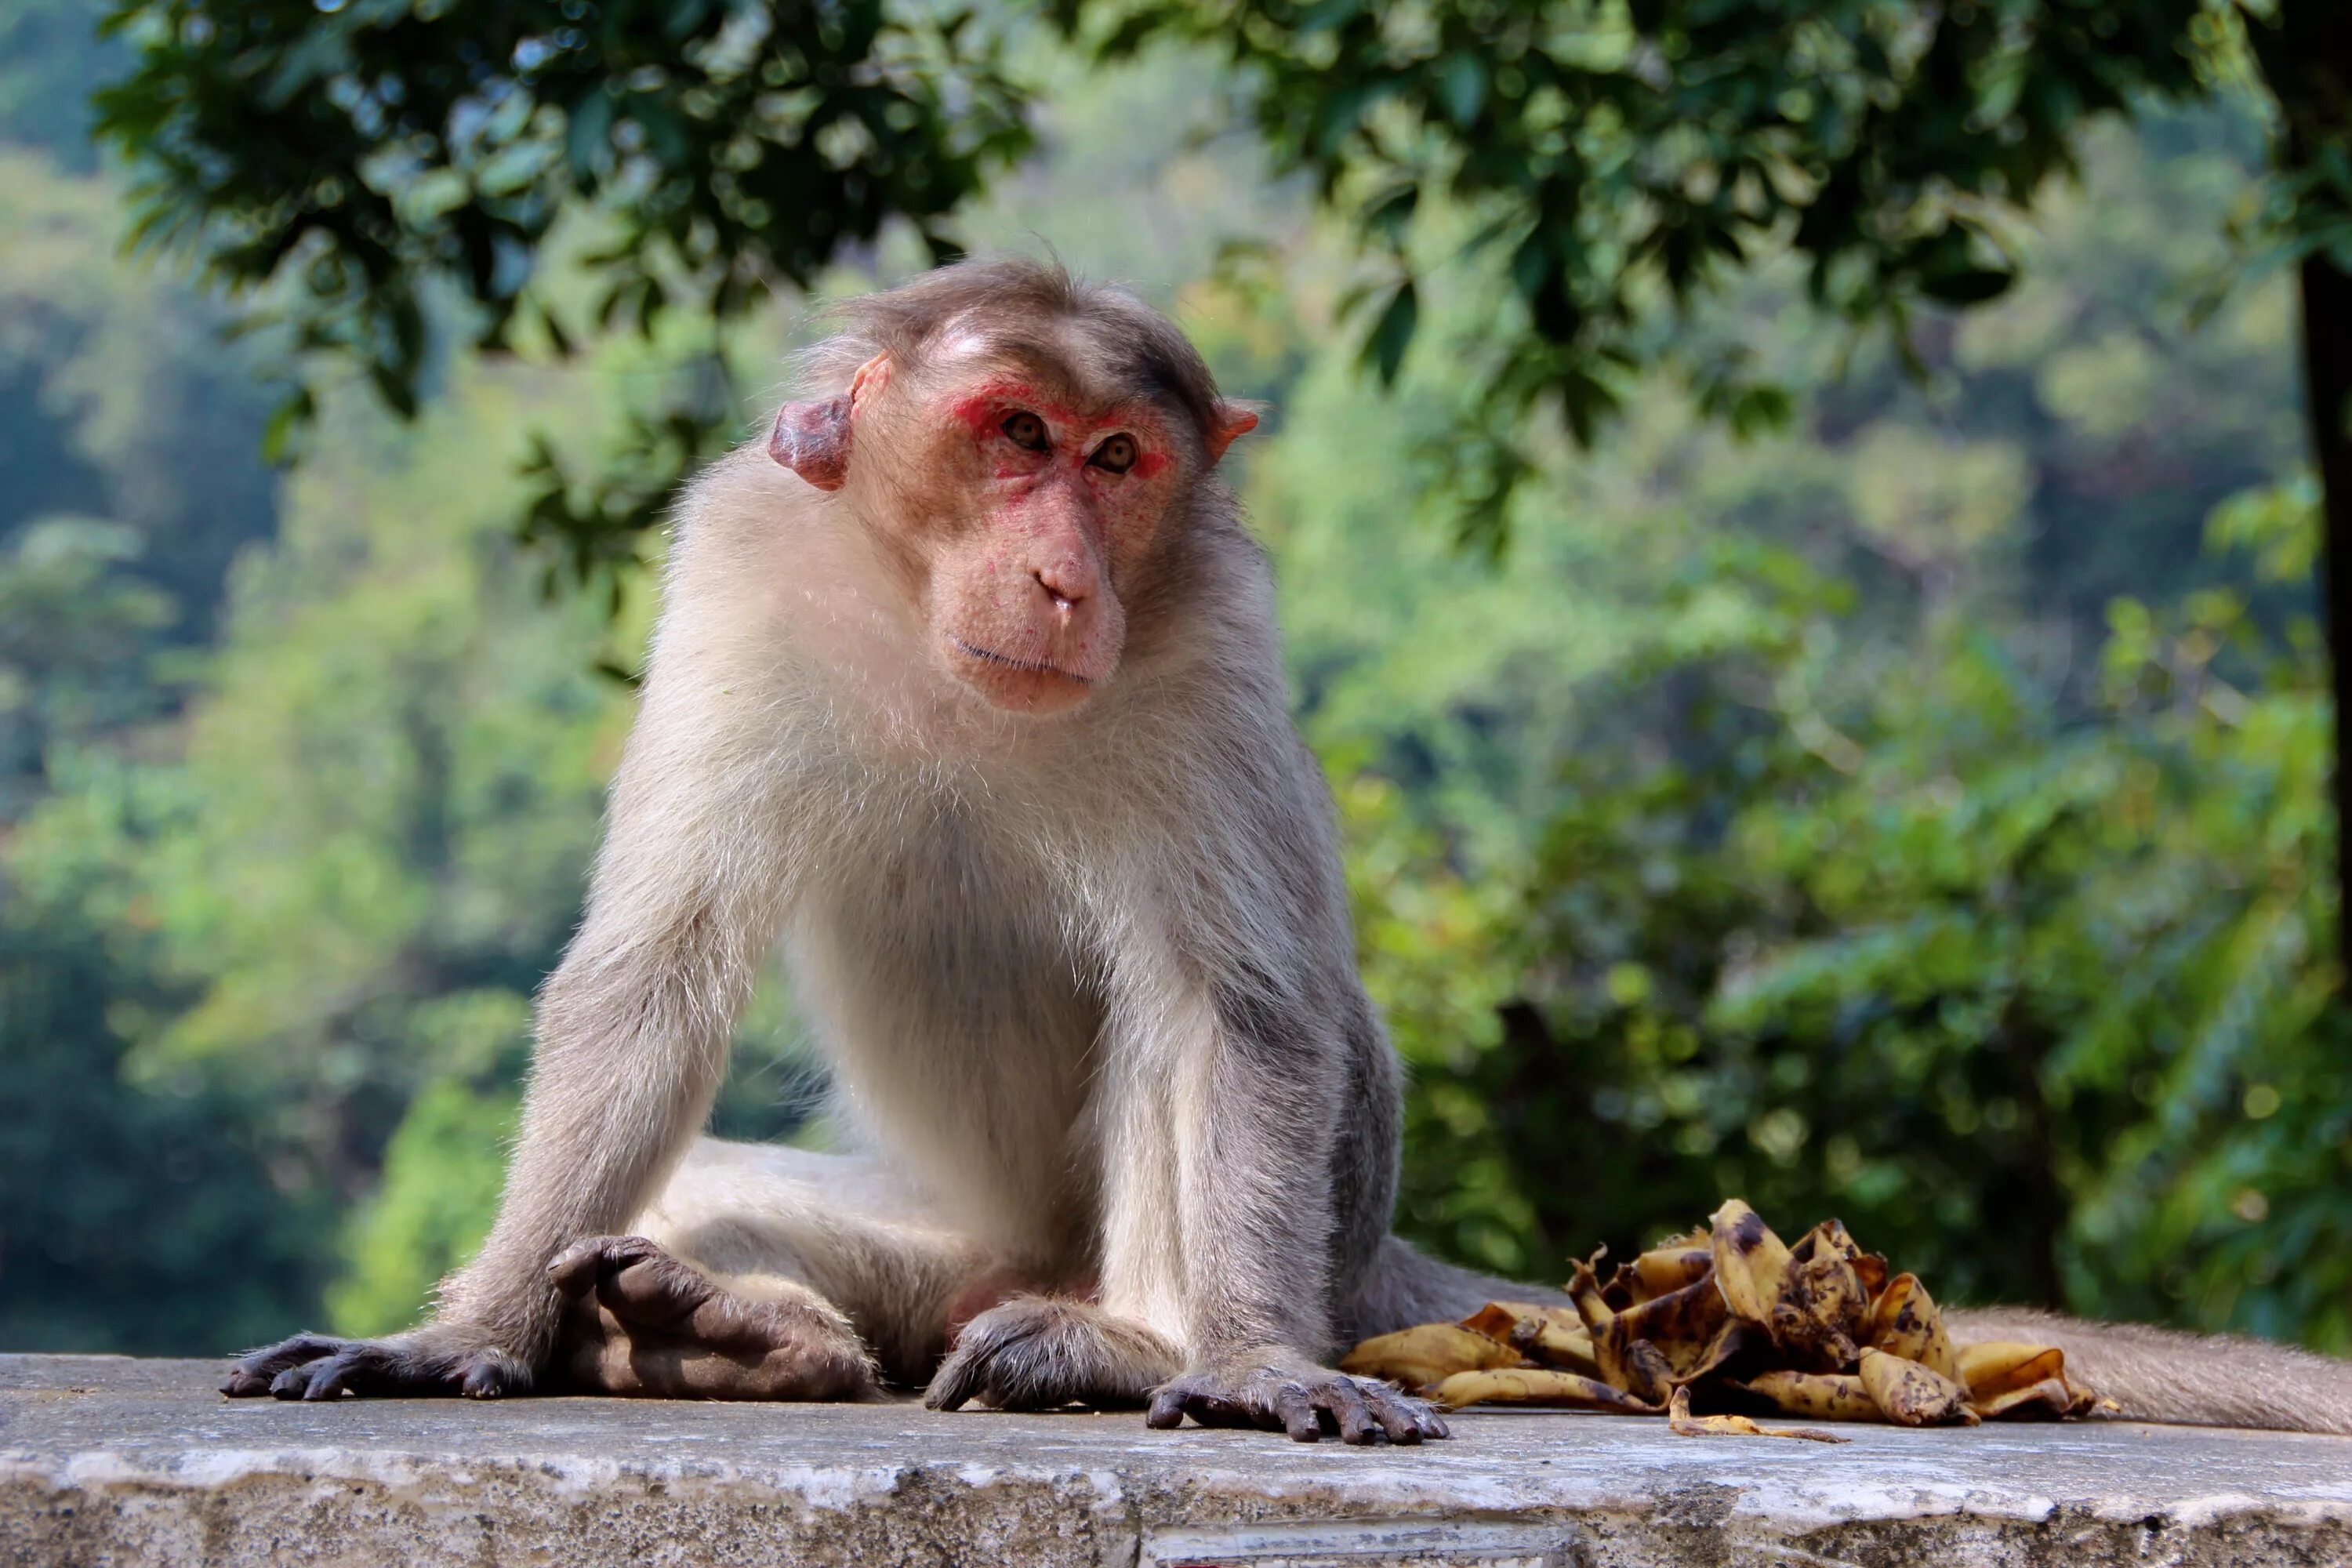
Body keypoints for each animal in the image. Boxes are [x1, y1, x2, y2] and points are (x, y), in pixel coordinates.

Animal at [224, 260, 2352, 1448]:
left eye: (1120, 465)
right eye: (1012, 432)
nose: (1062, 571)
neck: (934, 647)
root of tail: (1019, 1262)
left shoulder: (1208, 645)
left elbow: (1239, 1012)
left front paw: (1244, 1363)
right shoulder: (735, 572)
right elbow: (648, 974)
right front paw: (464, 1332)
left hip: (1277, 1222)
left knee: (1223, 1043)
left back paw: (1114, 1348)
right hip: (926, 1237)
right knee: (768, 1211)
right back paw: (720, 1323)